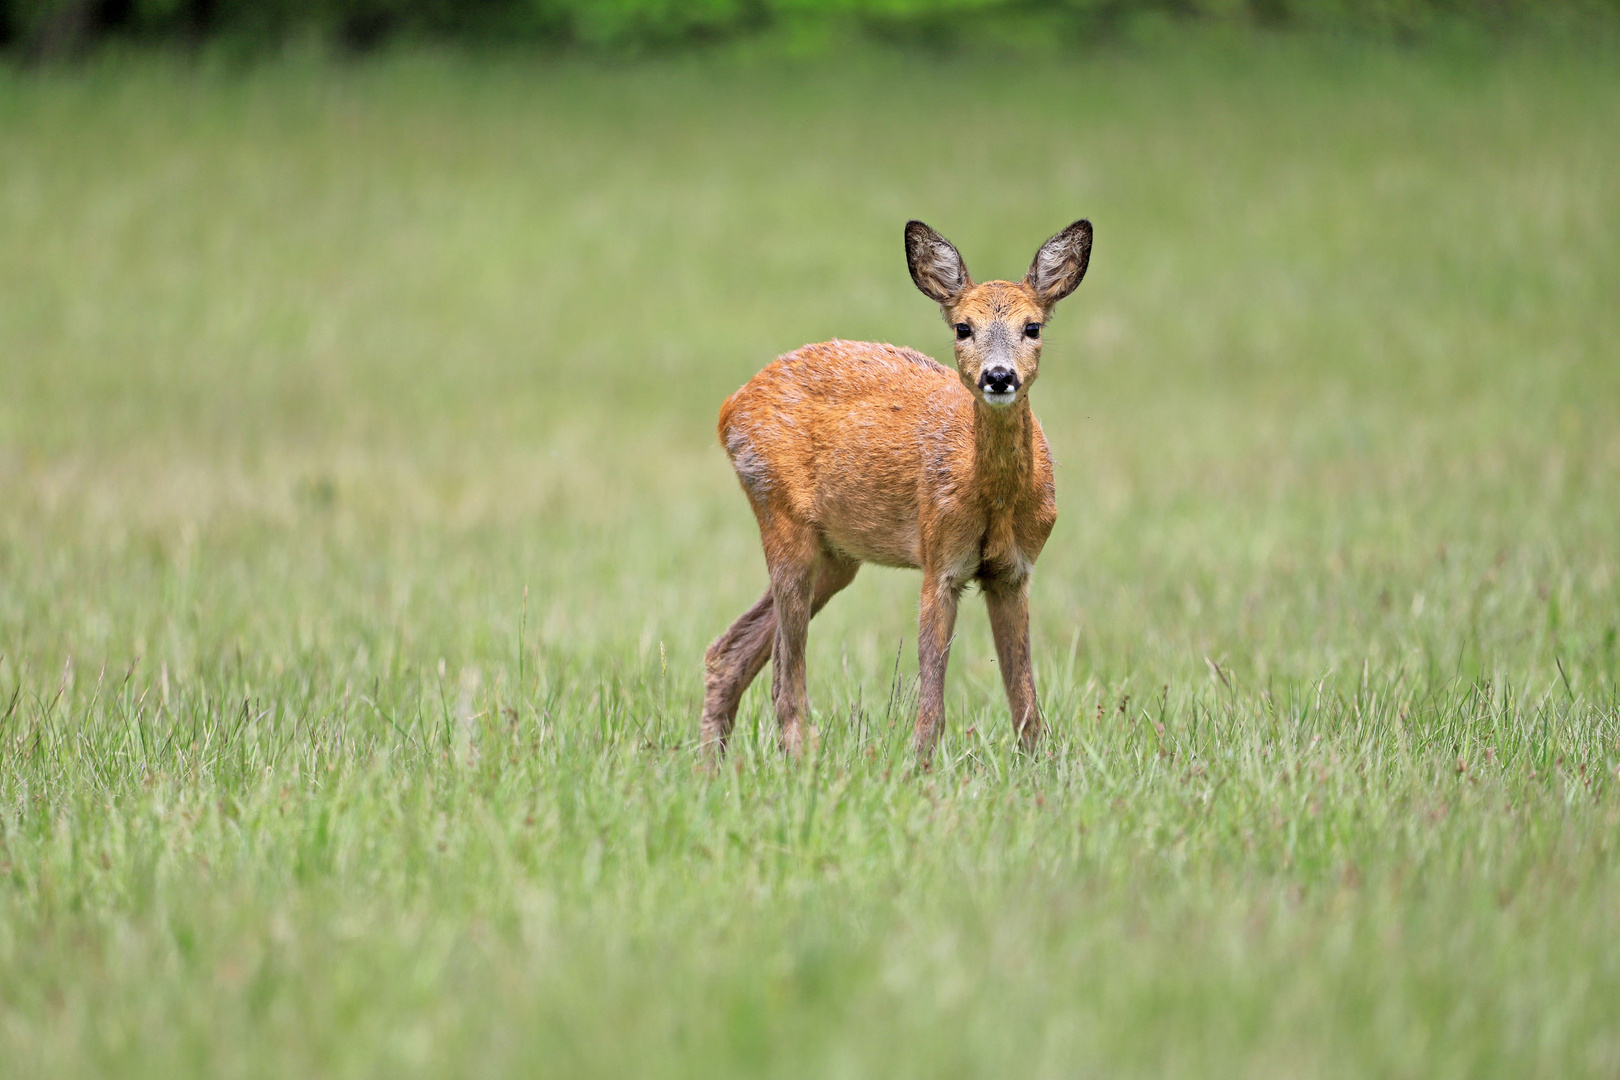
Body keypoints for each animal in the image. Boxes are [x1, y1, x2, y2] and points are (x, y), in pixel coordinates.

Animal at [696, 216, 1088, 761]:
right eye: (963, 327)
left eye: (1032, 327)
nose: (998, 376)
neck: (993, 497)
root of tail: (730, 407)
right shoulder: (940, 556)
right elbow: (932, 702)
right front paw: (919, 766)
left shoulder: (1014, 570)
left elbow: (1025, 704)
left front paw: (1037, 770)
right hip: (778, 511)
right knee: (783, 678)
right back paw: (796, 759)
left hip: (836, 555)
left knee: (730, 651)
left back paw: (711, 767)